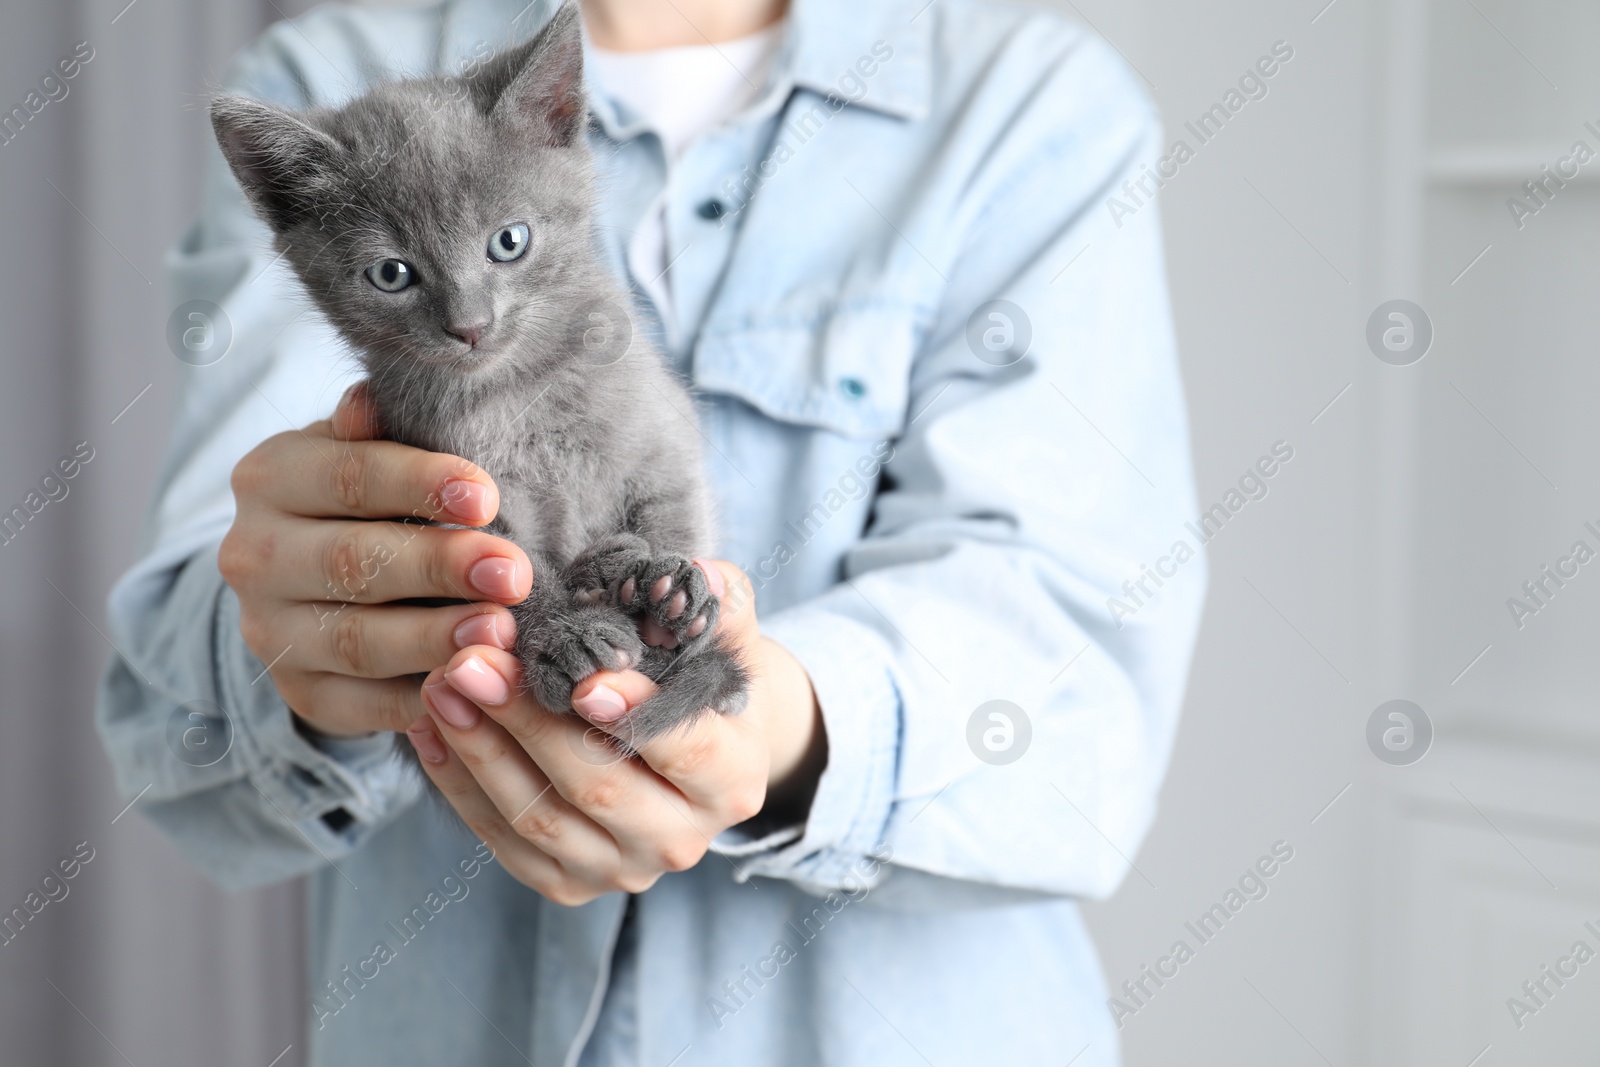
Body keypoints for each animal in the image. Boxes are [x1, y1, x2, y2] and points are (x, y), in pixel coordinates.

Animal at [208, 8, 748, 758]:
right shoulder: (446, 488)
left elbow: (676, 504)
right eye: (392, 274)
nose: (469, 324)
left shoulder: (662, 433)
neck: (522, 391)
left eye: (509, 241)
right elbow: (504, 575)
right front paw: (562, 637)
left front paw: (674, 586)